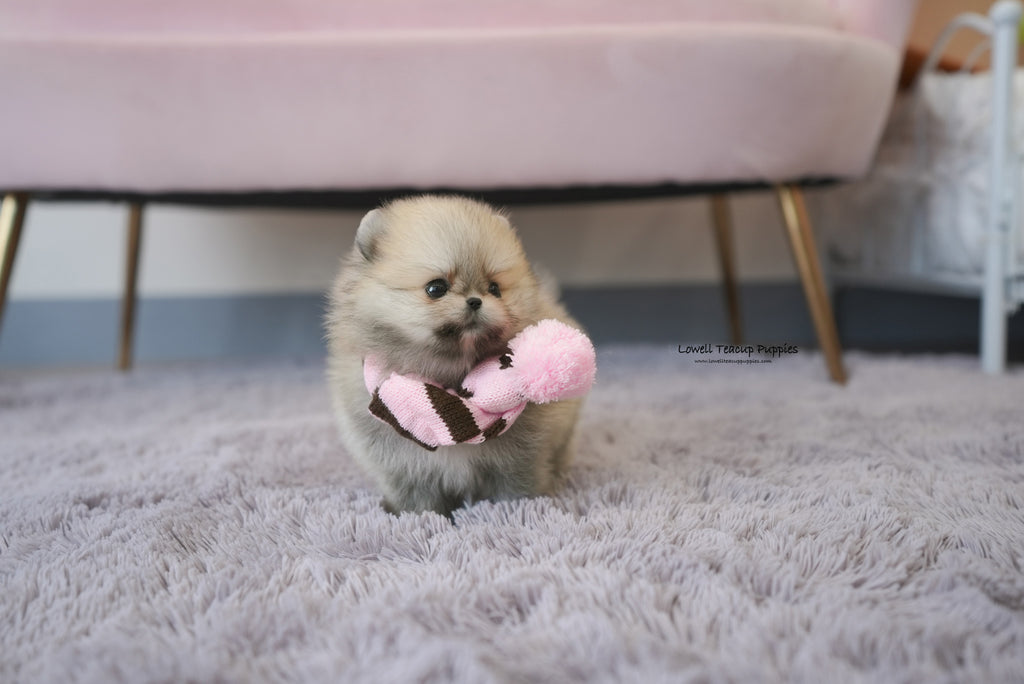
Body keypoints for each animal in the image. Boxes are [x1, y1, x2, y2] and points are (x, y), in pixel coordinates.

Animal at [327, 194, 585, 516]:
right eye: (436, 288)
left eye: (495, 288)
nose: (475, 300)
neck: (451, 388)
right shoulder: (403, 462)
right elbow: (416, 494)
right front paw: (416, 516)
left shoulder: (522, 454)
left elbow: (517, 484)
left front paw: (520, 510)